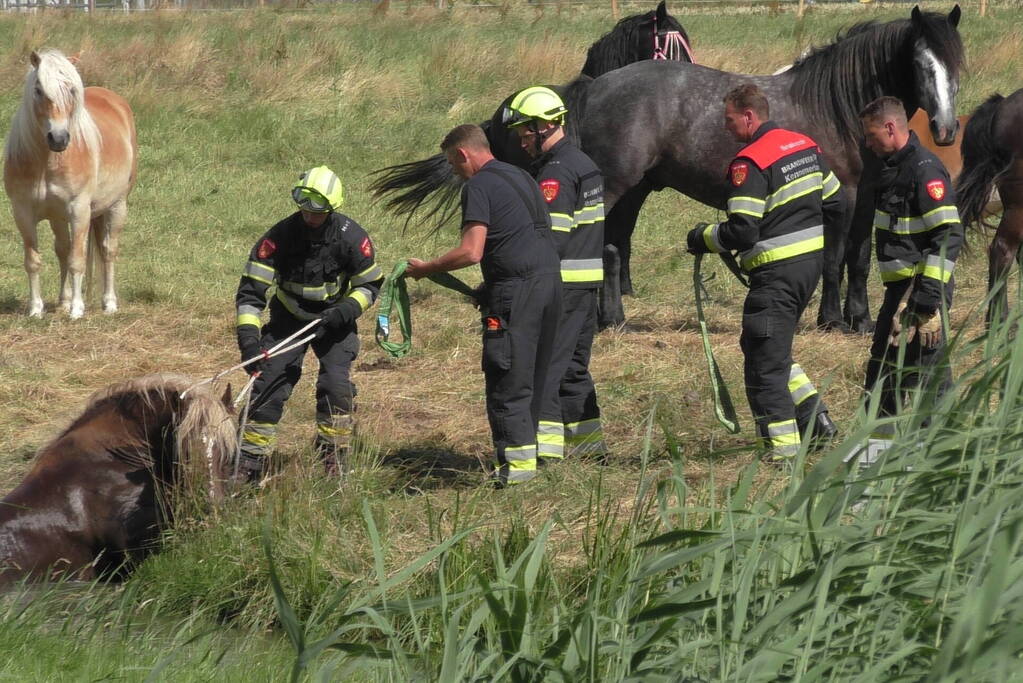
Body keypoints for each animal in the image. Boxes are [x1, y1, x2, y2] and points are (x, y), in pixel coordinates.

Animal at [3, 49, 138, 320]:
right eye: (38, 89)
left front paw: (77, 309)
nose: (59, 138)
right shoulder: (22, 212)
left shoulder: (79, 211)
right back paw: (63, 301)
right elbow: (34, 261)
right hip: (58, 217)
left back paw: (109, 304)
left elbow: (77, 260)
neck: (46, 162)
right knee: (63, 250)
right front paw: (36, 309)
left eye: (72, 90)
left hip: (117, 206)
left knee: (108, 250)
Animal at [575, 6, 962, 331]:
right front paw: (832, 320)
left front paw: (861, 320)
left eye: (956, 64)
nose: (945, 129)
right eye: (921, 63)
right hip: (613, 189)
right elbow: (833, 259)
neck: (836, 110)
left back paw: (611, 318)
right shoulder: (842, 198)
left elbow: (859, 259)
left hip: (632, 191)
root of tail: (598, 86)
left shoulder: (868, 196)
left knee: (613, 248)